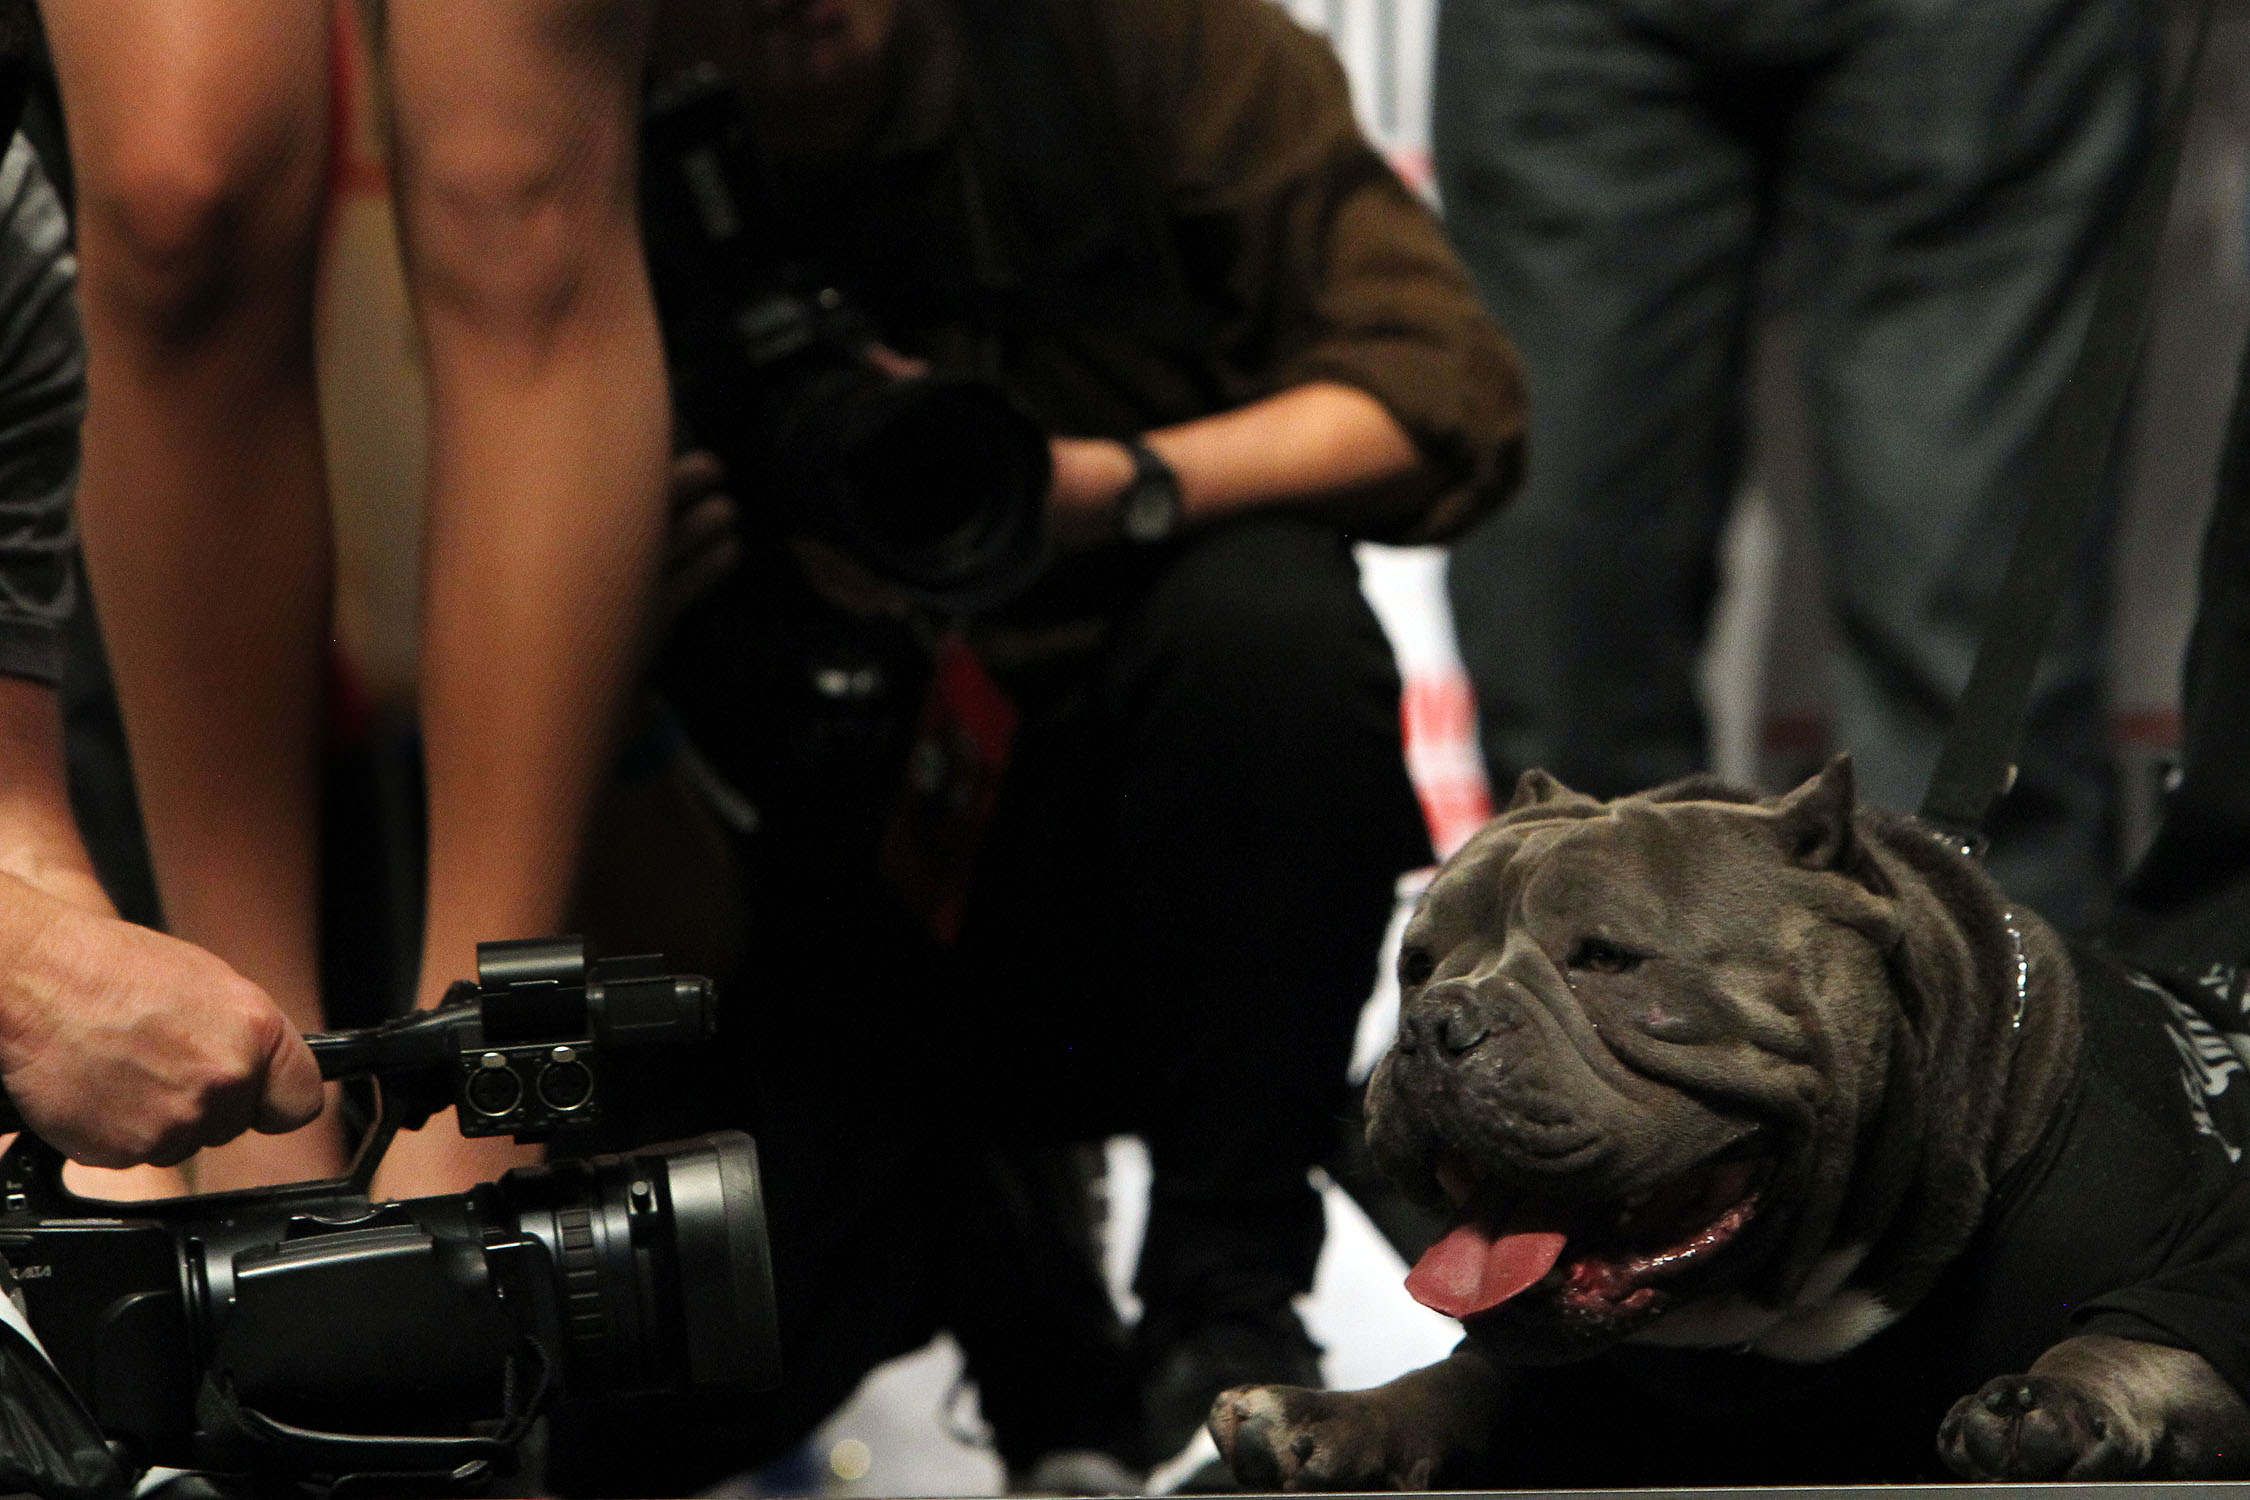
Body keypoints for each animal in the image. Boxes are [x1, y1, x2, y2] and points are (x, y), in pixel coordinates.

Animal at [1211, 756, 2250, 1486]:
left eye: (1605, 958)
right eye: (1416, 965)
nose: (1433, 1023)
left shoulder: (2209, 1262)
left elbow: (2134, 1339)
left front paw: (2055, 1399)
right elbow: (1469, 1376)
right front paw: (1337, 1414)